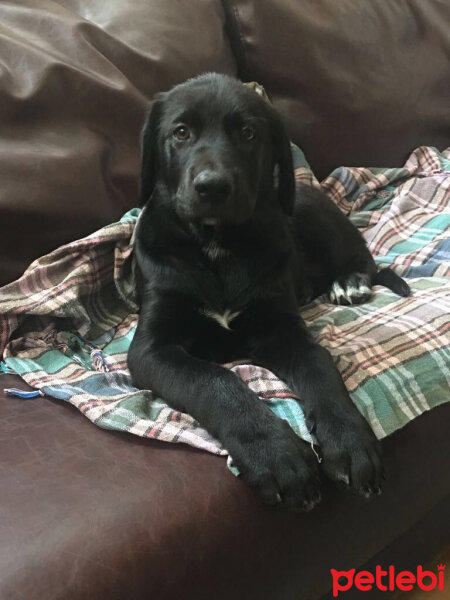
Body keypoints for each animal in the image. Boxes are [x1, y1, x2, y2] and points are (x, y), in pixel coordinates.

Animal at [128, 72, 410, 508]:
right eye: (181, 132)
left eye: (248, 133)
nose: (213, 188)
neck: (218, 246)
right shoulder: (151, 348)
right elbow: (213, 381)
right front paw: (275, 453)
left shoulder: (282, 329)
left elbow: (319, 367)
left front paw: (350, 440)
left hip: (305, 212)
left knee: (364, 256)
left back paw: (348, 283)